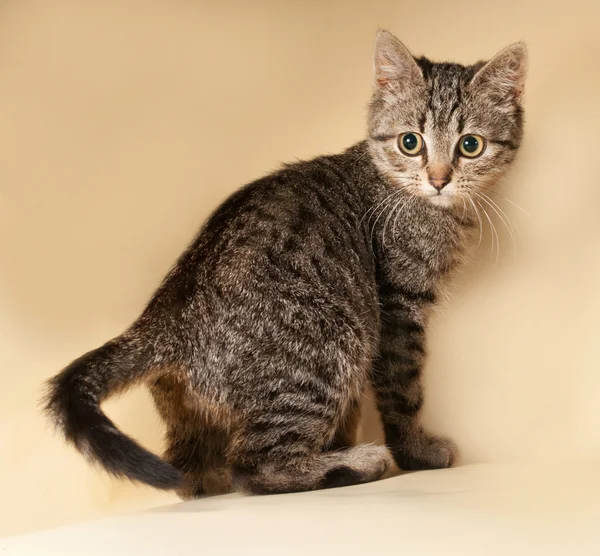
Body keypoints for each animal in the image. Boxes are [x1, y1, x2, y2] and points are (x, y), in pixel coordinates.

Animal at [42, 30, 524, 498]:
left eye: (470, 145)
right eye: (411, 143)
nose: (439, 178)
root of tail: (162, 319)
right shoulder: (398, 310)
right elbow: (403, 391)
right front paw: (416, 452)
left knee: (190, 476)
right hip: (330, 347)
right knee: (254, 468)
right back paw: (355, 464)